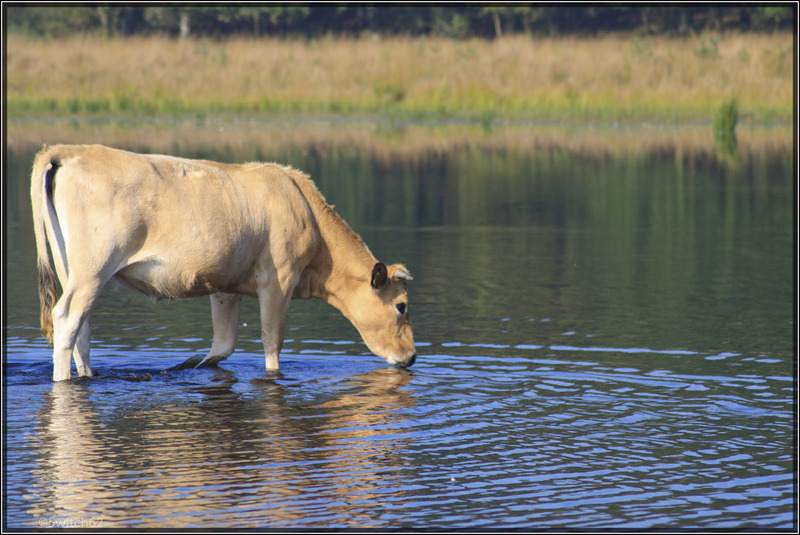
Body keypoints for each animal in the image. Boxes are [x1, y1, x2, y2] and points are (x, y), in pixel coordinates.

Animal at [30, 144, 416, 382]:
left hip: (74, 271)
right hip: (93, 267)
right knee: (66, 319)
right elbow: (271, 342)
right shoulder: (278, 279)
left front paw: (184, 366)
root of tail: (70, 151)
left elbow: (223, 345)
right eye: (401, 306)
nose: (412, 356)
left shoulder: (226, 285)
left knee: (83, 327)